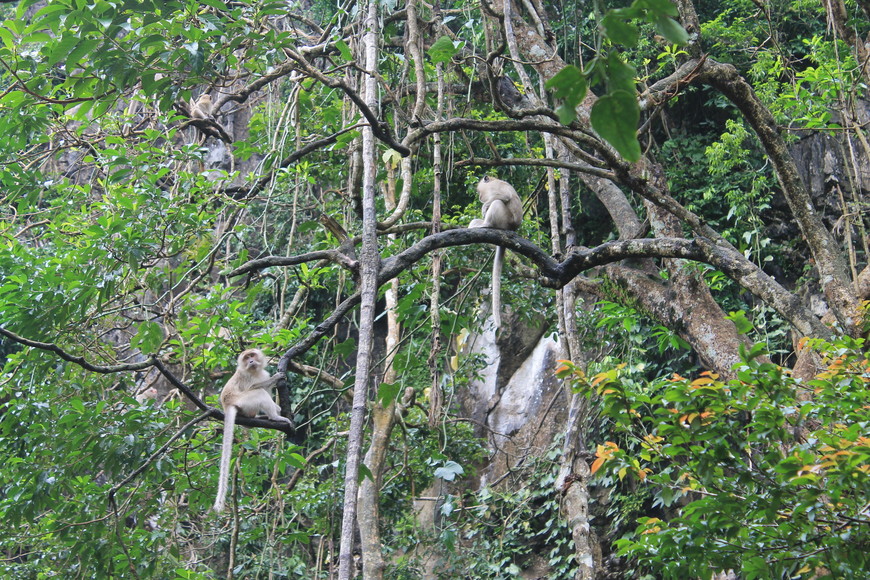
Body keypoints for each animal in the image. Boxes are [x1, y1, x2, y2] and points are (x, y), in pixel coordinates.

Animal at [214, 348, 292, 512]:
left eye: (252, 355)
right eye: (246, 357)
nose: (250, 361)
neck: (254, 371)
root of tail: (227, 404)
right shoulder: (246, 376)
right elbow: (255, 387)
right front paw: (277, 377)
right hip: (243, 402)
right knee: (258, 393)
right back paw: (275, 417)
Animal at [470, 176, 524, 330]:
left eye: (479, 191)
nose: (480, 197)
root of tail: (512, 228)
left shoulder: (496, 187)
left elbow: (504, 196)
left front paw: (485, 206)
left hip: (504, 220)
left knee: (497, 203)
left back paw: (485, 224)